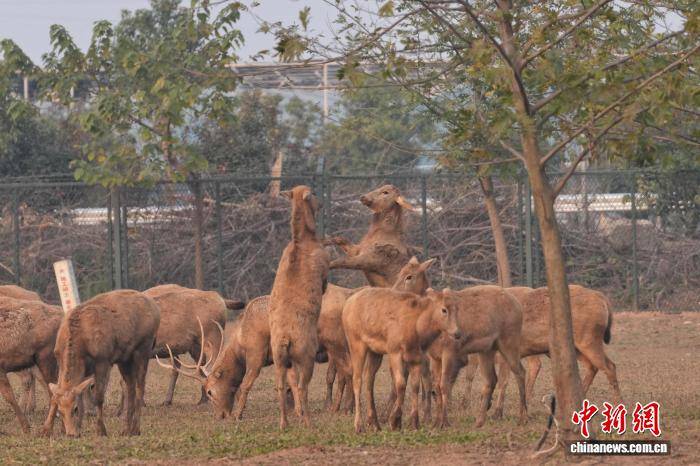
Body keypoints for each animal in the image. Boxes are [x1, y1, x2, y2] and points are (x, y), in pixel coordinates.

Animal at [42, 289, 160, 437]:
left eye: (74, 409)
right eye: (60, 411)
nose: (71, 434)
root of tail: (156, 309)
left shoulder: (103, 360)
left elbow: (98, 396)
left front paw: (101, 430)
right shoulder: (61, 362)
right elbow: (55, 396)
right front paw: (46, 430)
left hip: (144, 348)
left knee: (140, 386)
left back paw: (135, 429)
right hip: (124, 359)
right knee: (130, 386)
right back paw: (126, 429)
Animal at [268, 185, 330, 429]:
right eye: (312, 194)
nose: (321, 203)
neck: (301, 242)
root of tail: (286, 338)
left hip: (279, 360)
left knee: (281, 387)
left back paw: (284, 423)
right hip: (306, 358)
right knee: (303, 387)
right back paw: (308, 422)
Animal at [428, 286, 528, 429]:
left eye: (453, 309)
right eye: (444, 309)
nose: (457, 334)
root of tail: (519, 307)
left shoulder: (449, 353)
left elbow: (444, 385)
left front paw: (445, 422)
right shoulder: (434, 357)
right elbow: (436, 385)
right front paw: (436, 423)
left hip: (509, 342)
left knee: (520, 371)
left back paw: (523, 418)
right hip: (487, 350)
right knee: (491, 379)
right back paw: (480, 421)